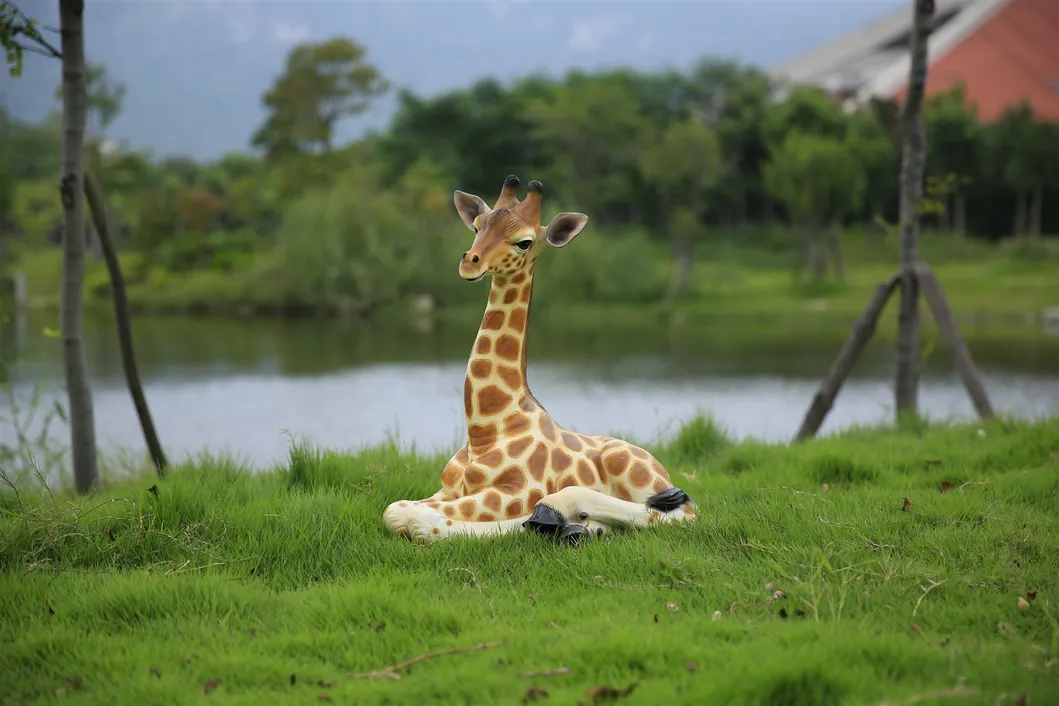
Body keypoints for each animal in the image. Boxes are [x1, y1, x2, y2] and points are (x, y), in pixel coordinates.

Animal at [382, 175, 697, 544]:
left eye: (524, 242)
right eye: (476, 226)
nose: (469, 262)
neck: (485, 429)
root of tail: (662, 467)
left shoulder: (515, 490)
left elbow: (413, 516)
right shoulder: (448, 489)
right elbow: (395, 508)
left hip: (632, 470)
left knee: (681, 512)